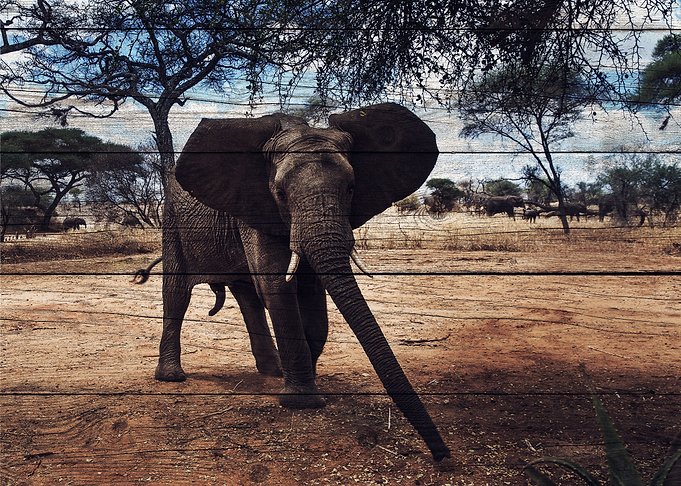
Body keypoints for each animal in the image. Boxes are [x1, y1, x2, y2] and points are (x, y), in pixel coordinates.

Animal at [138, 103, 450, 461]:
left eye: (351, 189)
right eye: (281, 194)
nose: (442, 455)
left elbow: (312, 293)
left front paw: (303, 378)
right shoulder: (258, 206)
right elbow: (278, 285)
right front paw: (303, 401)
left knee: (247, 294)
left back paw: (272, 371)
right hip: (173, 221)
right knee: (178, 292)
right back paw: (172, 378)